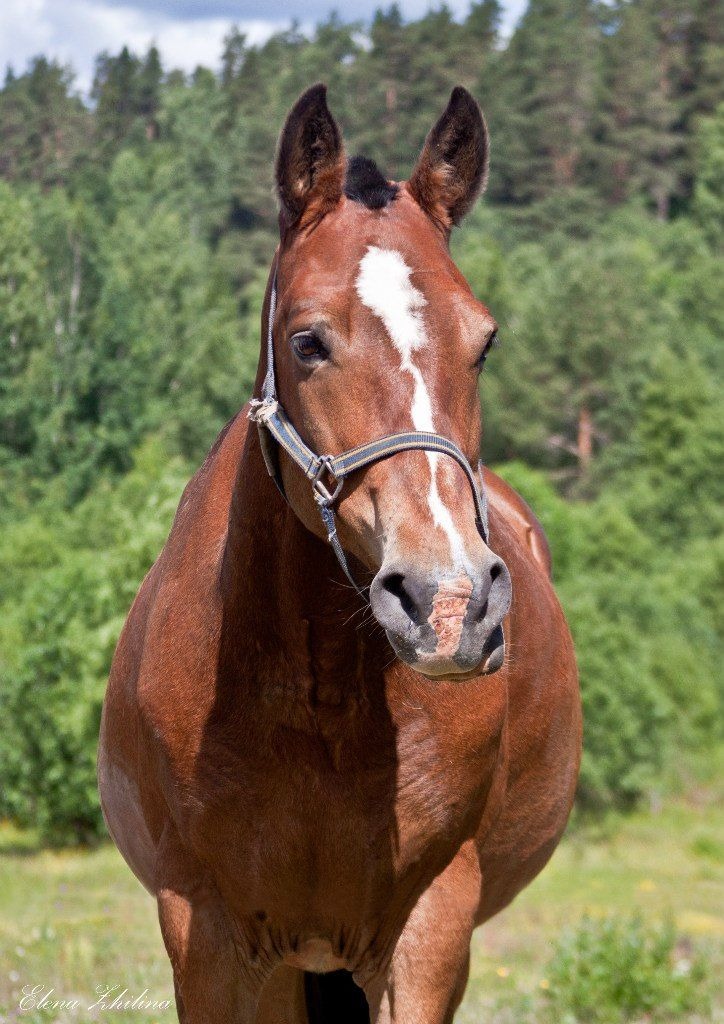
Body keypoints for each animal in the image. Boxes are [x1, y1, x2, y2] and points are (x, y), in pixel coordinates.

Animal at [98, 83, 581, 1024]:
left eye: (485, 340)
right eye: (307, 340)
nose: (448, 604)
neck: (313, 698)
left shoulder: (429, 931)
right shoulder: (207, 939)